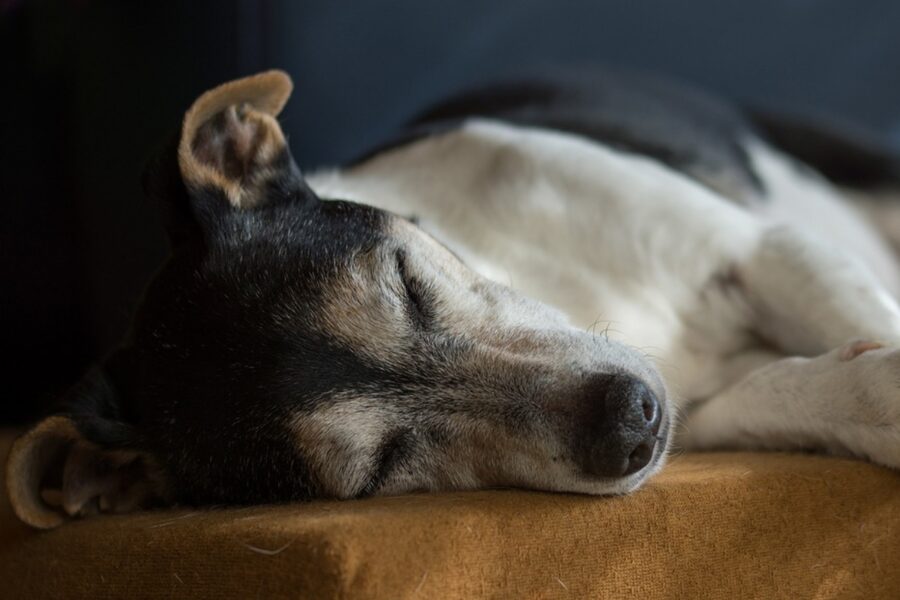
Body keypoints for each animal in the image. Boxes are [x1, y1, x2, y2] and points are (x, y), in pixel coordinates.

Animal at [7, 64, 900, 528]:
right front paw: (871, 395)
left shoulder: (760, 251)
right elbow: (788, 391)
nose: (631, 421)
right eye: (381, 466)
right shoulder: (703, 414)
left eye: (406, 281)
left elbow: (850, 310)